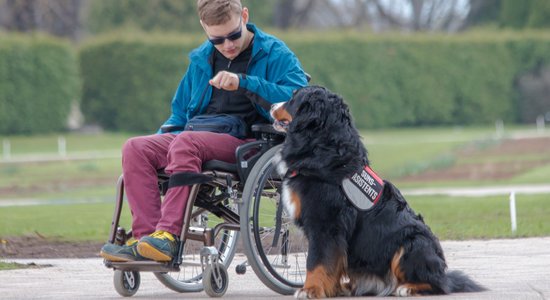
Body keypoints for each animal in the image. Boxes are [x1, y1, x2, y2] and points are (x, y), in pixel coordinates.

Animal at [272, 85, 488, 298]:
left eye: (293, 98)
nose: (272, 104)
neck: (322, 147)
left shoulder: (325, 224)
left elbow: (316, 262)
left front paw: (310, 289)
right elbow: (330, 263)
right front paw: (329, 289)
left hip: (412, 244)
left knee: (439, 284)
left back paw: (407, 288)